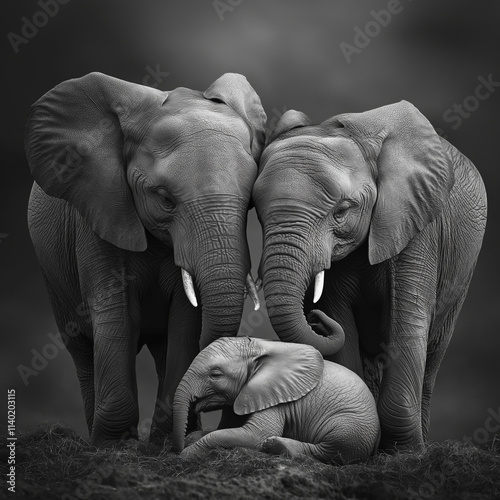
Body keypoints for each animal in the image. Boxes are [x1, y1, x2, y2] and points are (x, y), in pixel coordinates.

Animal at [25, 71, 266, 446]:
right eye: (165, 199)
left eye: (250, 202)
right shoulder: (99, 214)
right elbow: (117, 314)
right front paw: (114, 445)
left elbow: (185, 318)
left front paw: (166, 444)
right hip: (53, 276)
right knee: (81, 349)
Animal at [172, 330, 378, 462]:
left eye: (215, 374)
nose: (177, 449)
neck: (260, 346)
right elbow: (225, 429)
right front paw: (191, 439)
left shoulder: (274, 398)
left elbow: (255, 435)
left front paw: (186, 455)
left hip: (353, 426)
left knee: (332, 450)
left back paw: (275, 445)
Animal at [252, 100, 486, 450]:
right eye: (257, 212)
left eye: (341, 211)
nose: (314, 318)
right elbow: (342, 322)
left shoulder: (416, 223)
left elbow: (406, 320)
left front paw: (403, 452)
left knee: (433, 354)